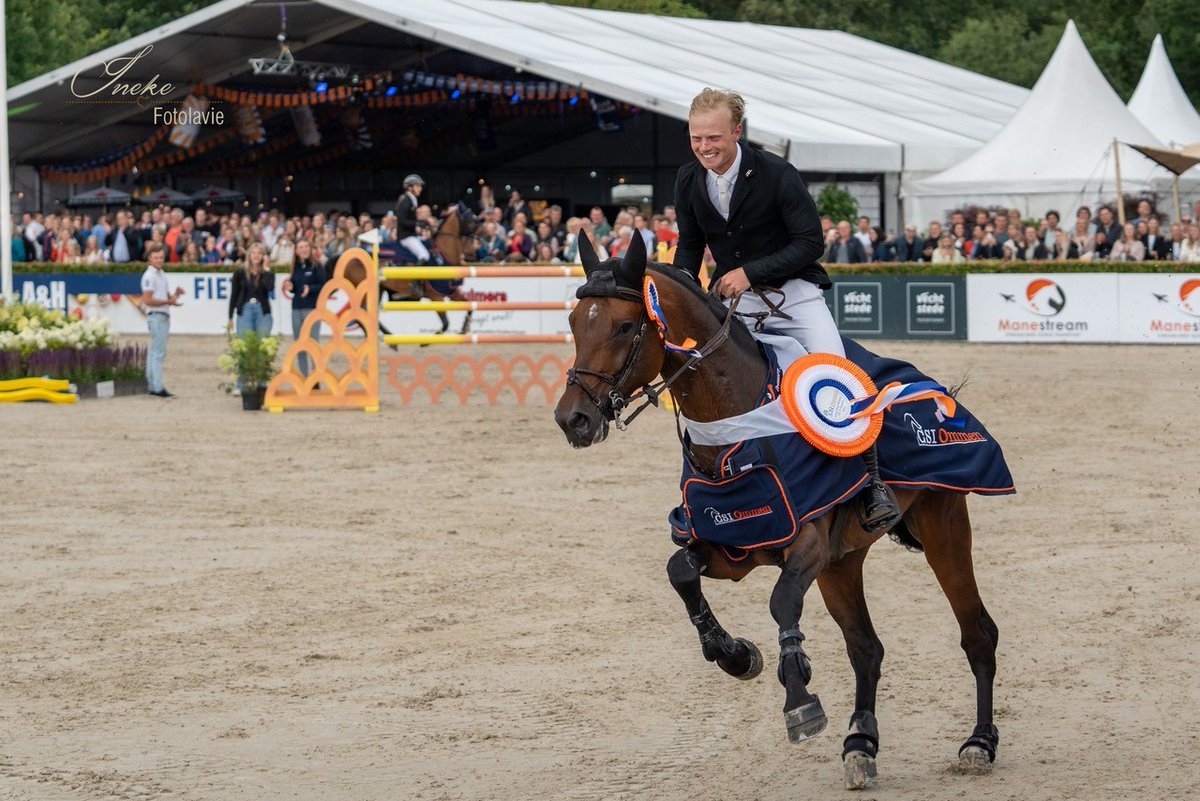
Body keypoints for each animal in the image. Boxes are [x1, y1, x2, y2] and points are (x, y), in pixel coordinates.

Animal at [554, 233, 1001, 790]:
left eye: (623, 326)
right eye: (575, 322)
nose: (572, 419)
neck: (735, 424)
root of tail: (931, 388)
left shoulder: (807, 542)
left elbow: (782, 600)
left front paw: (799, 697)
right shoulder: (732, 548)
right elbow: (681, 571)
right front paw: (735, 655)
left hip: (942, 528)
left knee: (977, 633)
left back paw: (978, 742)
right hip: (842, 563)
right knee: (866, 649)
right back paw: (860, 744)